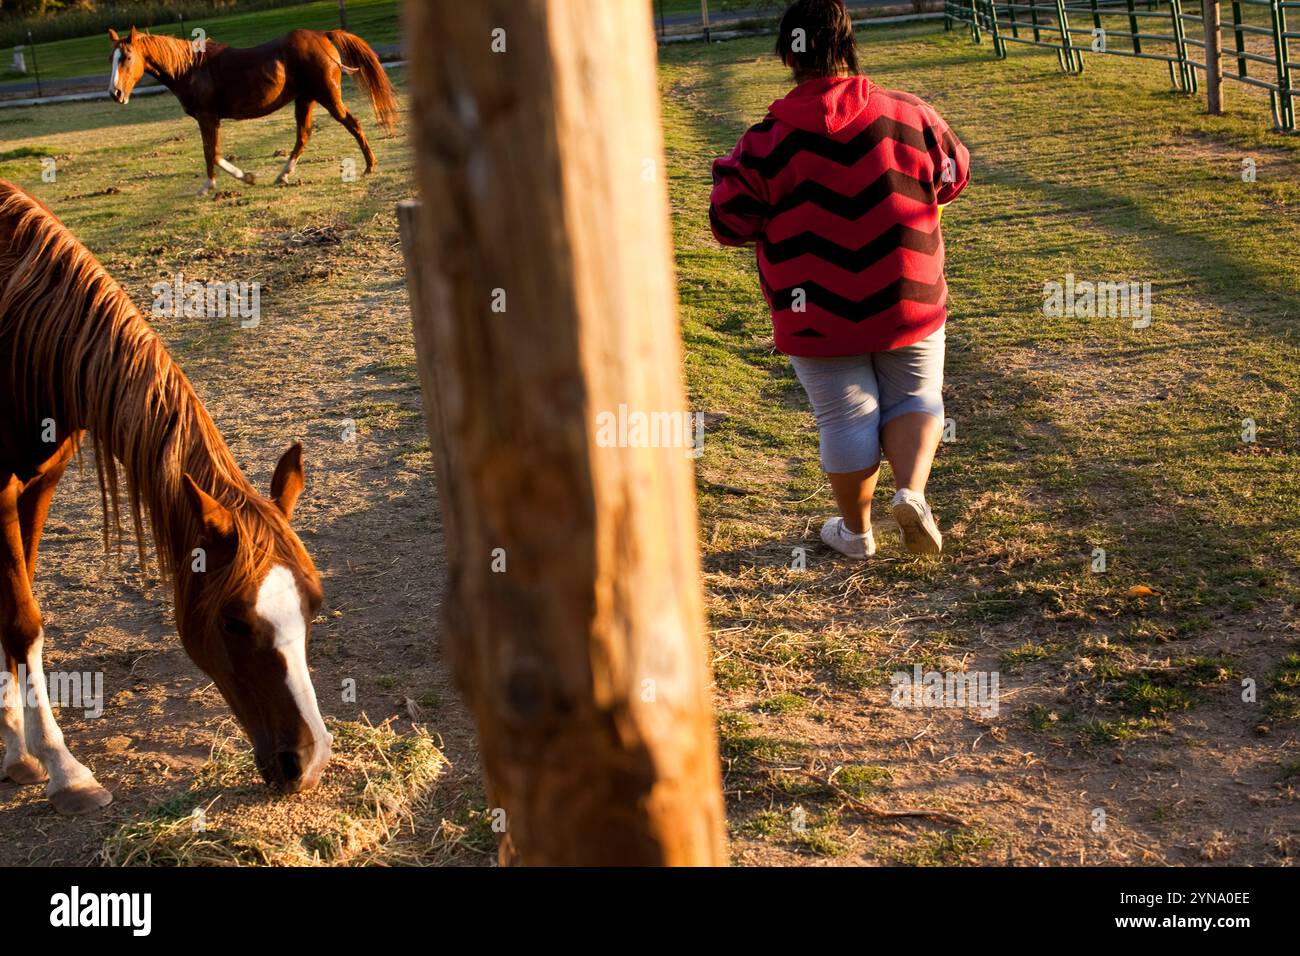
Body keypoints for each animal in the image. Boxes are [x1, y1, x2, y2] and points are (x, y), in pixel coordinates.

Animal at [0, 180, 331, 814]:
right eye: (232, 621)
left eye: (314, 605)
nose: (306, 764)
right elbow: (22, 623)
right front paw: (62, 768)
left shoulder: (38, 486)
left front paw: (17, 752)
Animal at [106, 26, 398, 195]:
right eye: (112, 58)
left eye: (127, 57)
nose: (115, 93)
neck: (191, 68)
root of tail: (323, 35)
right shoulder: (211, 119)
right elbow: (213, 153)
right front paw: (239, 178)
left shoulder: (207, 117)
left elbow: (211, 153)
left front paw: (223, 182)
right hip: (305, 99)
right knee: (303, 135)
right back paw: (283, 175)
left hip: (327, 96)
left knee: (353, 123)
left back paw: (369, 166)